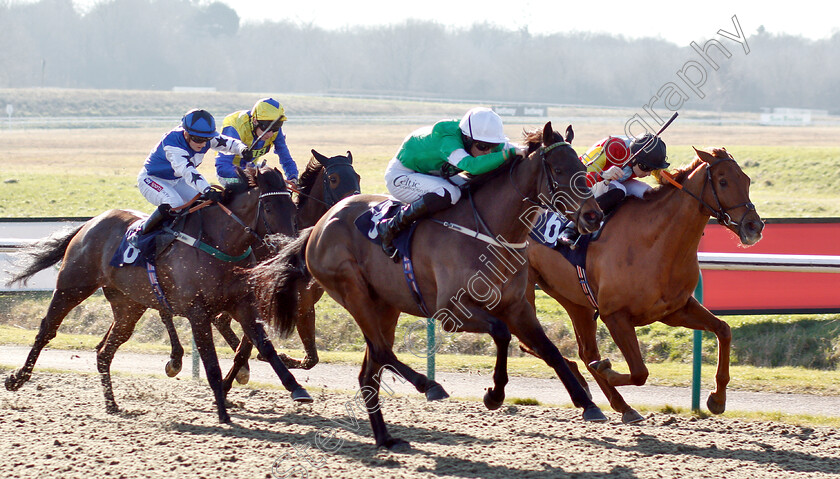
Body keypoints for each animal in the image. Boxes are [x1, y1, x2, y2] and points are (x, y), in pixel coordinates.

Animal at [4, 167, 312, 422]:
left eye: (293, 206)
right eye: (269, 206)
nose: (290, 246)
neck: (219, 242)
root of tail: (89, 223)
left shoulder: (243, 305)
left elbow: (266, 348)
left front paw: (296, 389)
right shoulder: (198, 312)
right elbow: (211, 363)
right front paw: (223, 412)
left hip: (128, 306)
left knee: (104, 351)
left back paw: (112, 404)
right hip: (73, 285)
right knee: (47, 329)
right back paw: (18, 378)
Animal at [161, 150, 360, 382]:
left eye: (357, 177)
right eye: (334, 178)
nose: (354, 206)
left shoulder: (304, 303)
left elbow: (311, 359)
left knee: (216, 320)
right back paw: (176, 359)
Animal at [253, 122, 608, 452]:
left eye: (582, 167)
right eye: (560, 170)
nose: (594, 216)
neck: (490, 231)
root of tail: (318, 226)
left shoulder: (517, 306)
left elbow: (550, 350)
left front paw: (588, 403)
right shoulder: (451, 310)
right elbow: (501, 333)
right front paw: (494, 394)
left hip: (385, 305)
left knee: (370, 370)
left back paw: (385, 438)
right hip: (352, 292)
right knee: (381, 352)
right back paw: (428, 386)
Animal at [528, 147, 764, 424]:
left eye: (746, 180)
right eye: (724, 181)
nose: (754, 226)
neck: (655, 242)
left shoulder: (674, 309)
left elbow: (724, 330)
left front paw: (717, 399)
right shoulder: (614, 315)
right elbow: (640, 372)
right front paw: (607, 370)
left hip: (574, 300)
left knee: (585, 352)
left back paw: (607, 404)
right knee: (534, 343)